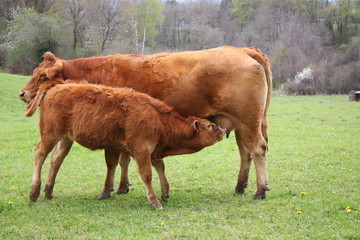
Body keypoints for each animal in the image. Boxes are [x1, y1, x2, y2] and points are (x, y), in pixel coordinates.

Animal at [26, 80, 225, 208]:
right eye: (209, 125)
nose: (223, 128)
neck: (157, 117)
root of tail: (57, 86)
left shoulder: (147, 149)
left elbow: (159, 166)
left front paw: (165, 192)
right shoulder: (141, 149)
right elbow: (146, 174)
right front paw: (154, 201)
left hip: (65, 138)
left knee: (56, 160)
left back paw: (48, 192)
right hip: (50, 134)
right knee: (39, 154)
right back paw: (34, 192)